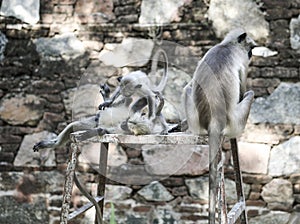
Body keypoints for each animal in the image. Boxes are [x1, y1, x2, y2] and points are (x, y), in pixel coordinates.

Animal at [182, 28, 256, 222]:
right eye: (250, 48)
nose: (251, 54)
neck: (226, 45)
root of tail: (214, 122)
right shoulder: (242, 62)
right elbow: (243, 88)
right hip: (235, 123)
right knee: (250, 94)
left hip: (196, 121)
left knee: (187, 88)